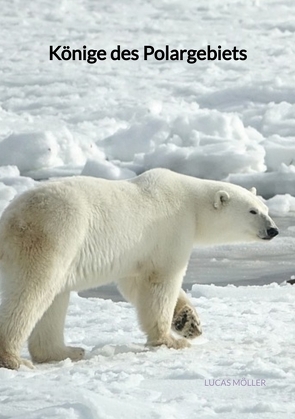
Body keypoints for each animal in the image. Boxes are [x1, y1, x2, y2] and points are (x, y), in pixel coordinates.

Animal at [0, 169, 280, 370]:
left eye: (266, 208)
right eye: (252, 211)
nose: (273, 230)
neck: (191, 202)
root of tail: (9, 219)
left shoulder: (136, 253)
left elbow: (135, 284)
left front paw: (189, 323)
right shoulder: (171, 229)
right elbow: (161, 282)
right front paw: (171, 340)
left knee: (55, 299)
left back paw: (65, 351)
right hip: (54, 234)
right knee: (33, 291)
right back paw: (13, 358)